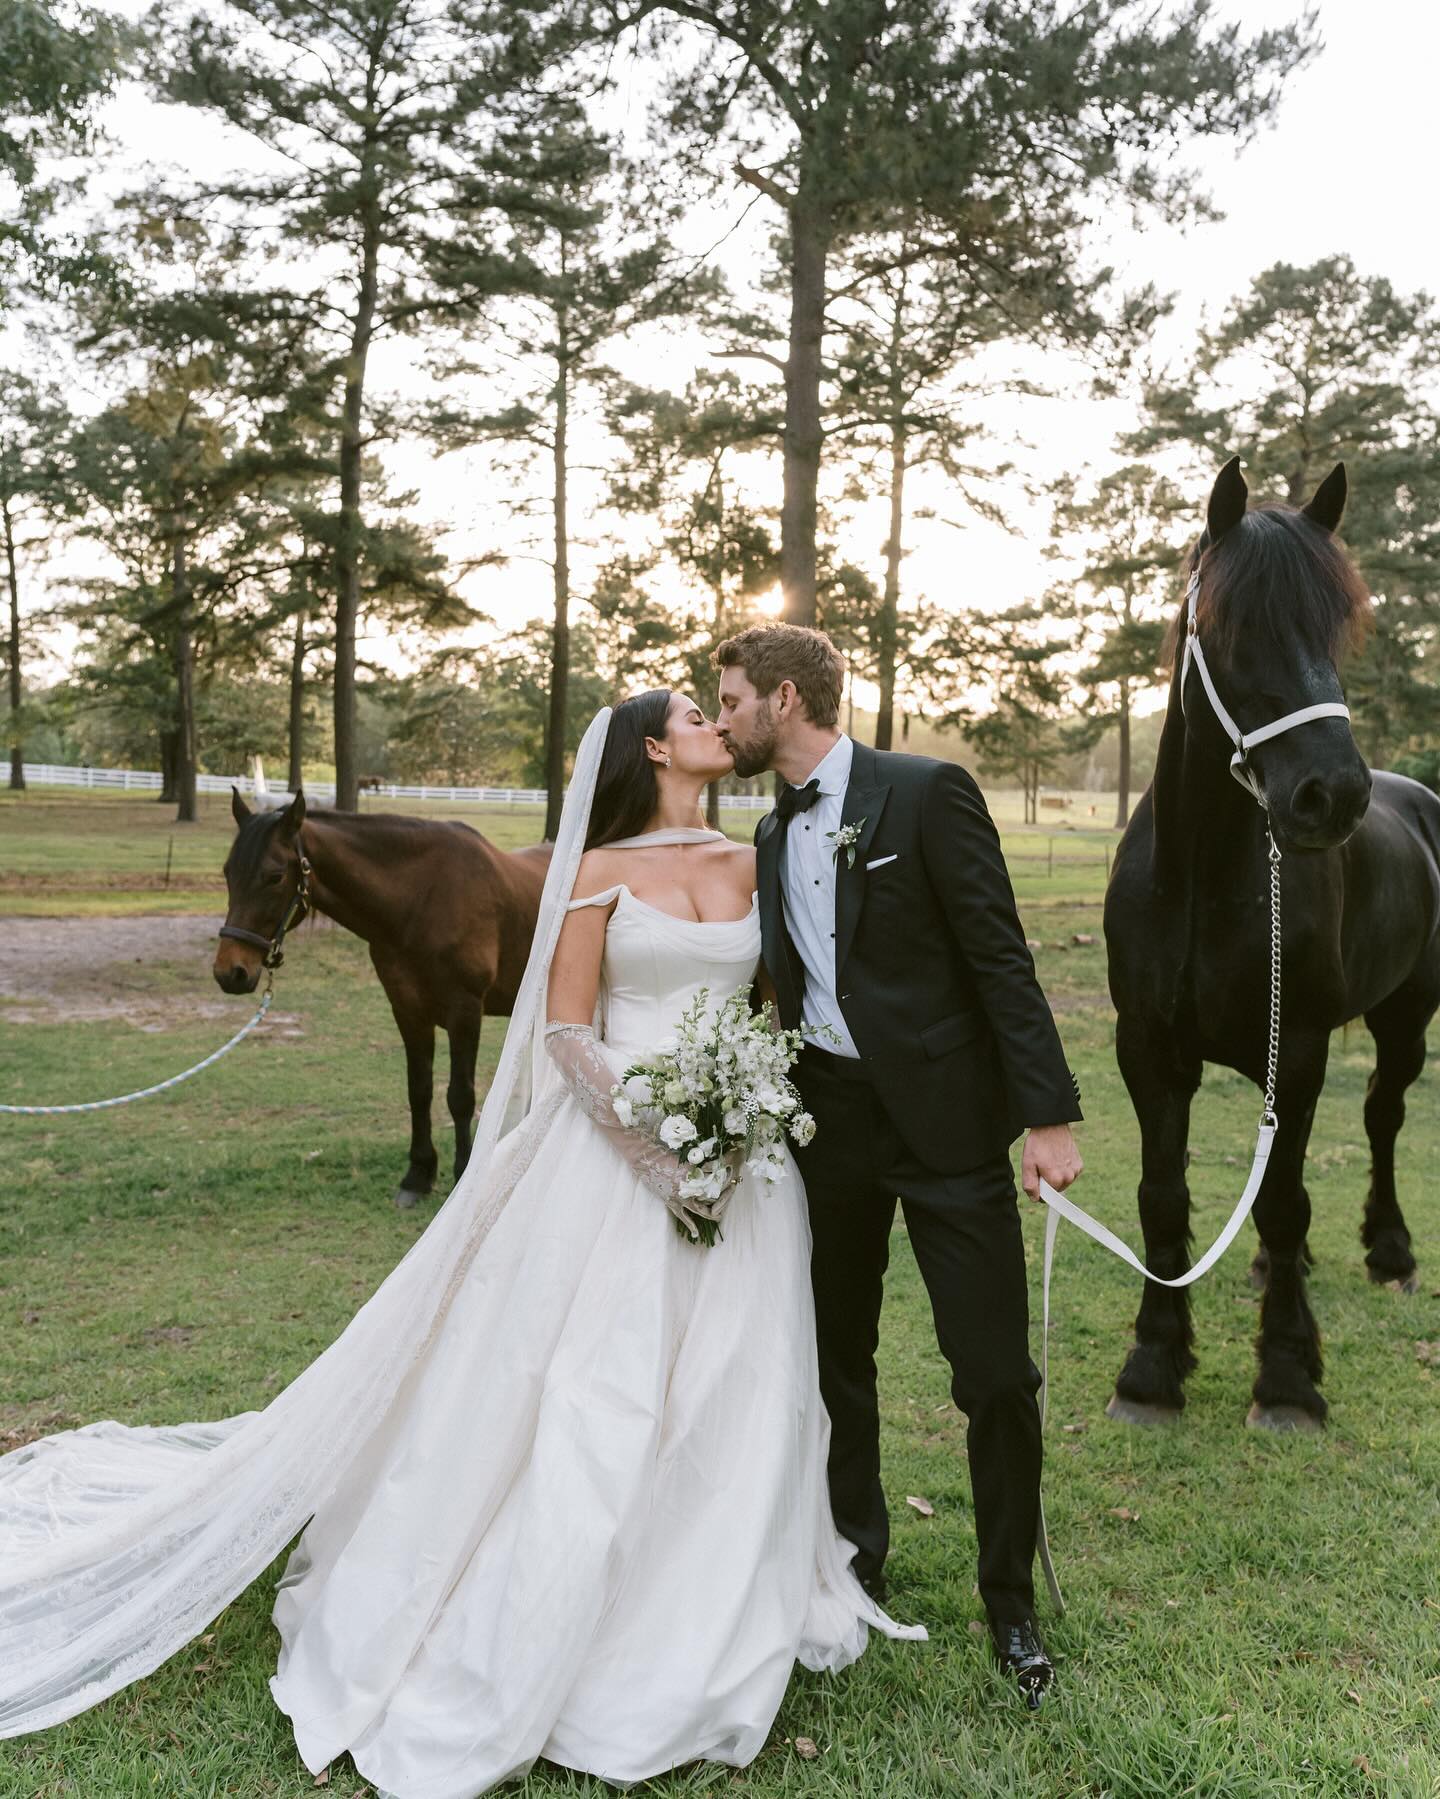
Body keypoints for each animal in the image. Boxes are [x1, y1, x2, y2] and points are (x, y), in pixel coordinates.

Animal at [214, 791, 550, 1201]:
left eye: (275, 876)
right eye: (228, 872)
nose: (230, 972)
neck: (423, 897)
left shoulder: (465, 1012)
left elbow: (460, 1097)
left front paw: (460, 1175)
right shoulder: (408, 1010)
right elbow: (419, 1090)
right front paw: (418, 1174)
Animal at [1108, 460, 1432, 1432]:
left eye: (1338, 625)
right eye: (1229, 624)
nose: (1334, 795)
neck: (1201, 874)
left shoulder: (1301, 1049)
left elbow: (1287, 1202)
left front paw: (1288, 1377)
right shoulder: (1148, 1048)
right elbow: (1163, 1196)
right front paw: (1152, 1366)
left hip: (1406, 1021)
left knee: (1383, 1119)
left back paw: (1391, 1252)